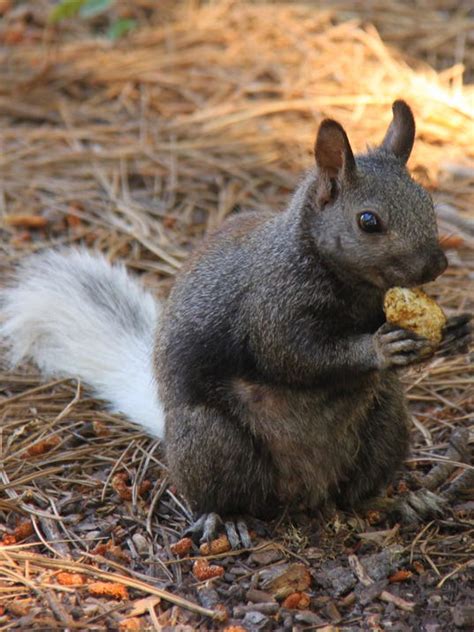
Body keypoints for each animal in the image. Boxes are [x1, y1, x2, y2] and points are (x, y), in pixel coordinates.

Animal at [0, 101, 468, 544]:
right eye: (368, 221)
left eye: (427, 202)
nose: (438, 265)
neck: (351, 284)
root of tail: (309, 488)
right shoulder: (270, 305)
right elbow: (292, 355)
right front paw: (378, 347)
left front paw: (455, 331)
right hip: (212, 440)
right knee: (228, 495)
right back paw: (224, 520)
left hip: (385, 423)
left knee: (358, 493)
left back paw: (400, 500)